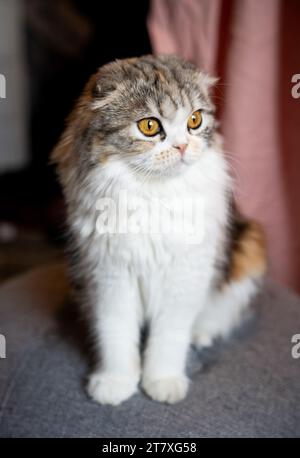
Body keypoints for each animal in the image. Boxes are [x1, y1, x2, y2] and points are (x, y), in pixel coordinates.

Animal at [52, 54, 268, 404]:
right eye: (150, 126)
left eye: (195, 120)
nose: (182, 146)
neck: (154, 195)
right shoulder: (109, 276)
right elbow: (115, 333)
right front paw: (115, 384)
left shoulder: (185, 277)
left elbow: (169, 336)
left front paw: (163, 383)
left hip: (250, 247)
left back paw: (202, 333)